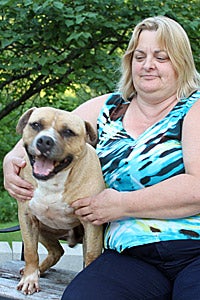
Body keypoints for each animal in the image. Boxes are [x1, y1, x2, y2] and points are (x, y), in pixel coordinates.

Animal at [16, 106, 104, 294]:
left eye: (68, 132)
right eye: (36, 125)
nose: (45, 141)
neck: (53, 181)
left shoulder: (91, 222)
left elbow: (92, 255)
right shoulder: (27, 217)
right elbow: (30, 252)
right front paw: (30, 278)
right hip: (42, 229)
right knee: (56, 251)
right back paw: (37, 270)